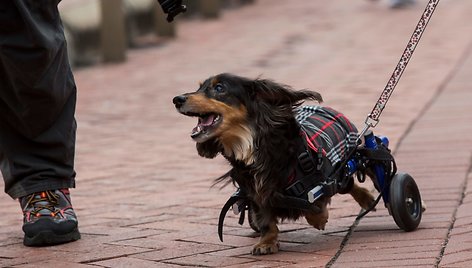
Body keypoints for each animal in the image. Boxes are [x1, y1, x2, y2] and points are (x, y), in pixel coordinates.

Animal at [173, 73, 376, 255]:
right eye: (200, 87)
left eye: (219, 88)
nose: (177, 99)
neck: (252, 148)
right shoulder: (256, 193)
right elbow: (266, 221)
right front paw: (266, 243)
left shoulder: (322, 180)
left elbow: (314, 203)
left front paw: (319, 218)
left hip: (344, 165)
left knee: (348, 182)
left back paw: (367, 199)